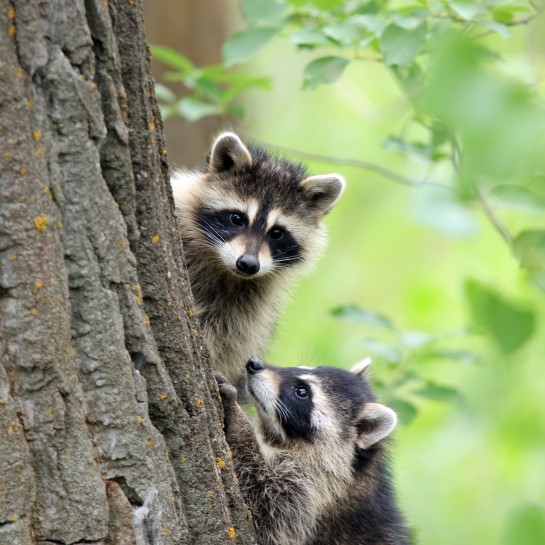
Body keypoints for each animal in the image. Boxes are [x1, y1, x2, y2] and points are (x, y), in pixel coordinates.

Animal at [170, 133, 344, 384]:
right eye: (236, 218)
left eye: (277, 233)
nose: (248, 264)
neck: (223, 267)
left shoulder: (252, 300)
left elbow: (229, 333)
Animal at [215, 356, 410, 544]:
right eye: (302, 368)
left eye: (302, 392)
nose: (254, 363)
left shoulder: (313, 494)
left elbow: (266, 504)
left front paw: (238, 421)